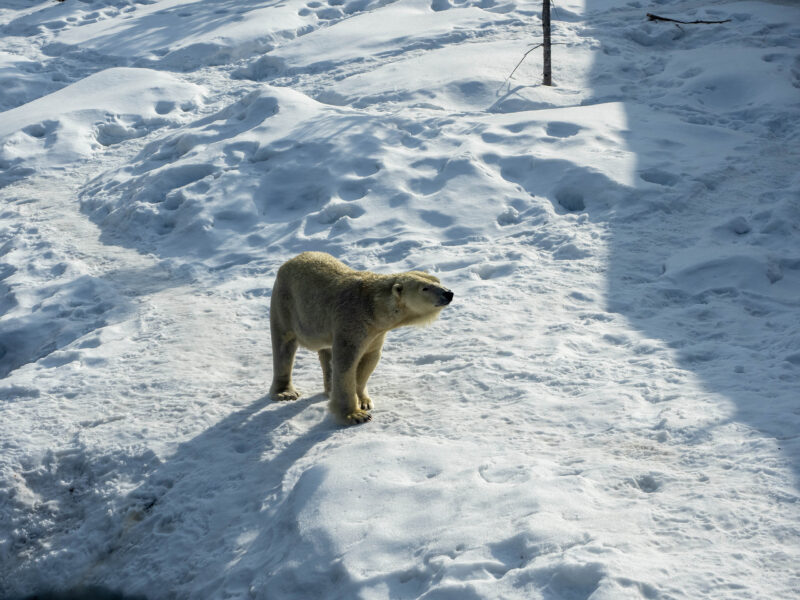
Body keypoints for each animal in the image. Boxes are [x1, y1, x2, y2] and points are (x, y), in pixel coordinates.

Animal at [268, 251, 454, 424]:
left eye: (437, 280)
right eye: (425, 288)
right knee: (284, 345)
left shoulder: (375, 332)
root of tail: (290, 261)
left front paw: (364, 402)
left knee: (326, 350)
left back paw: (328, 389)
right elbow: (346, 364)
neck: (372, 307)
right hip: (286, 303)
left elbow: (369, 359)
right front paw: (355, 415)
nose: (448, 293)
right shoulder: (352, 321)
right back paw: (285, 392)